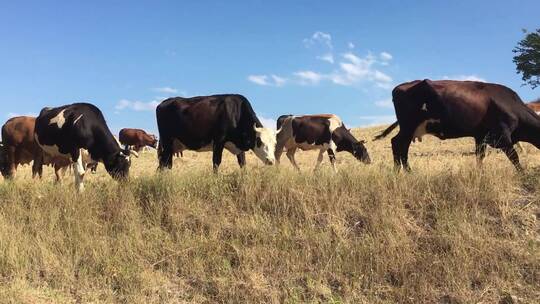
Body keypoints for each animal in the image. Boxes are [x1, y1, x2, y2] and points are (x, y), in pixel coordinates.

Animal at [374, 79, 540, 172]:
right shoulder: (501, 137)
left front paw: (479, 174)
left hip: (410, 129)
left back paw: (404, 172)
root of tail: (400, 87)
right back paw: (402, 172)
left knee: (400, 146)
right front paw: (523, 174)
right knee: (398, 144)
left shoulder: (481, 137)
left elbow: (480, 157)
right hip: (408, 127)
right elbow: (515, 157)